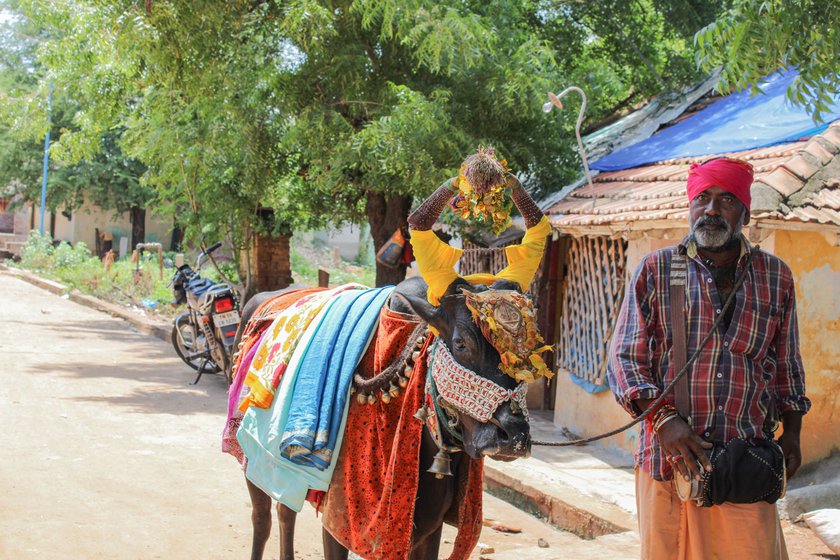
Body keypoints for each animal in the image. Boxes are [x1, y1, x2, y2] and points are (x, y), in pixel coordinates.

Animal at [223, 150, 552, 560]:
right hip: (251, 456)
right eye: (461, 343)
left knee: (285, 512)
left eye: (529, 346)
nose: (513, 435)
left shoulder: (428, 533)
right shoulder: (339, 521)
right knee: (264, 518)